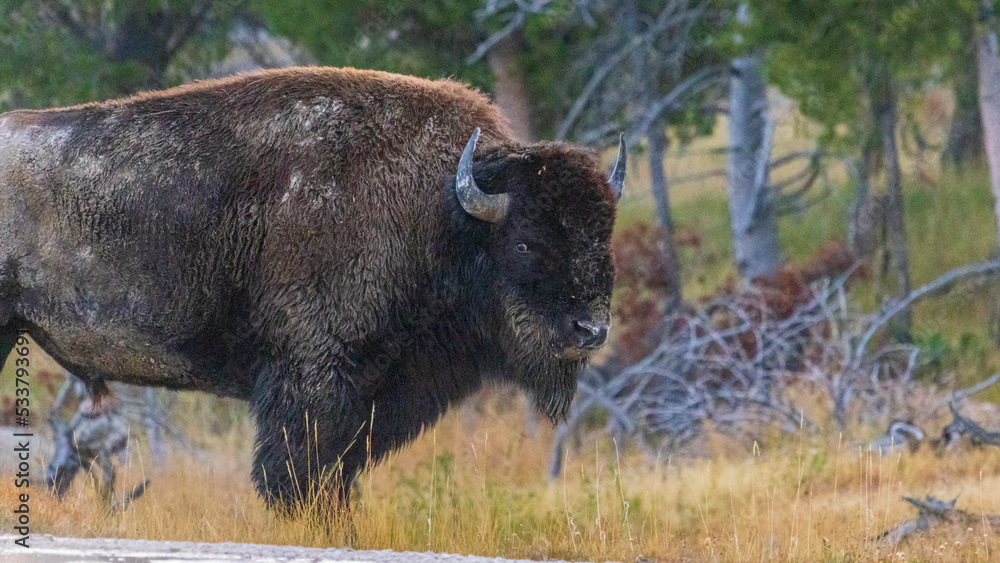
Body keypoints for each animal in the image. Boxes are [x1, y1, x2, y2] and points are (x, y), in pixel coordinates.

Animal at [0, 67, 620, 512]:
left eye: (603, 236)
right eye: (525, 244)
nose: (590, 330)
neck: (440, 210)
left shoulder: (375, 399)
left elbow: (337, 476)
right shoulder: (312, 380)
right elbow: (295, 475)